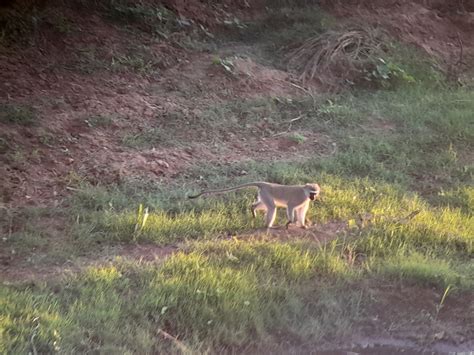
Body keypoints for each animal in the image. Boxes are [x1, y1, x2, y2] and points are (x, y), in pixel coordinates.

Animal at [187, 182, 320, 229]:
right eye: (311, 193)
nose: (313, 198)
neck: (304, 192)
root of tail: (266, 184)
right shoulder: (298, 199)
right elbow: (291, 206)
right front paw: (290, 222)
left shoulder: (305, 201)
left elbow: (301, 212)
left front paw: (302, 225)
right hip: (266, 193)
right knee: (272, 207)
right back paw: (268, 226)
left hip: (263, 194)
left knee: (265, 205)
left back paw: (253, 208)